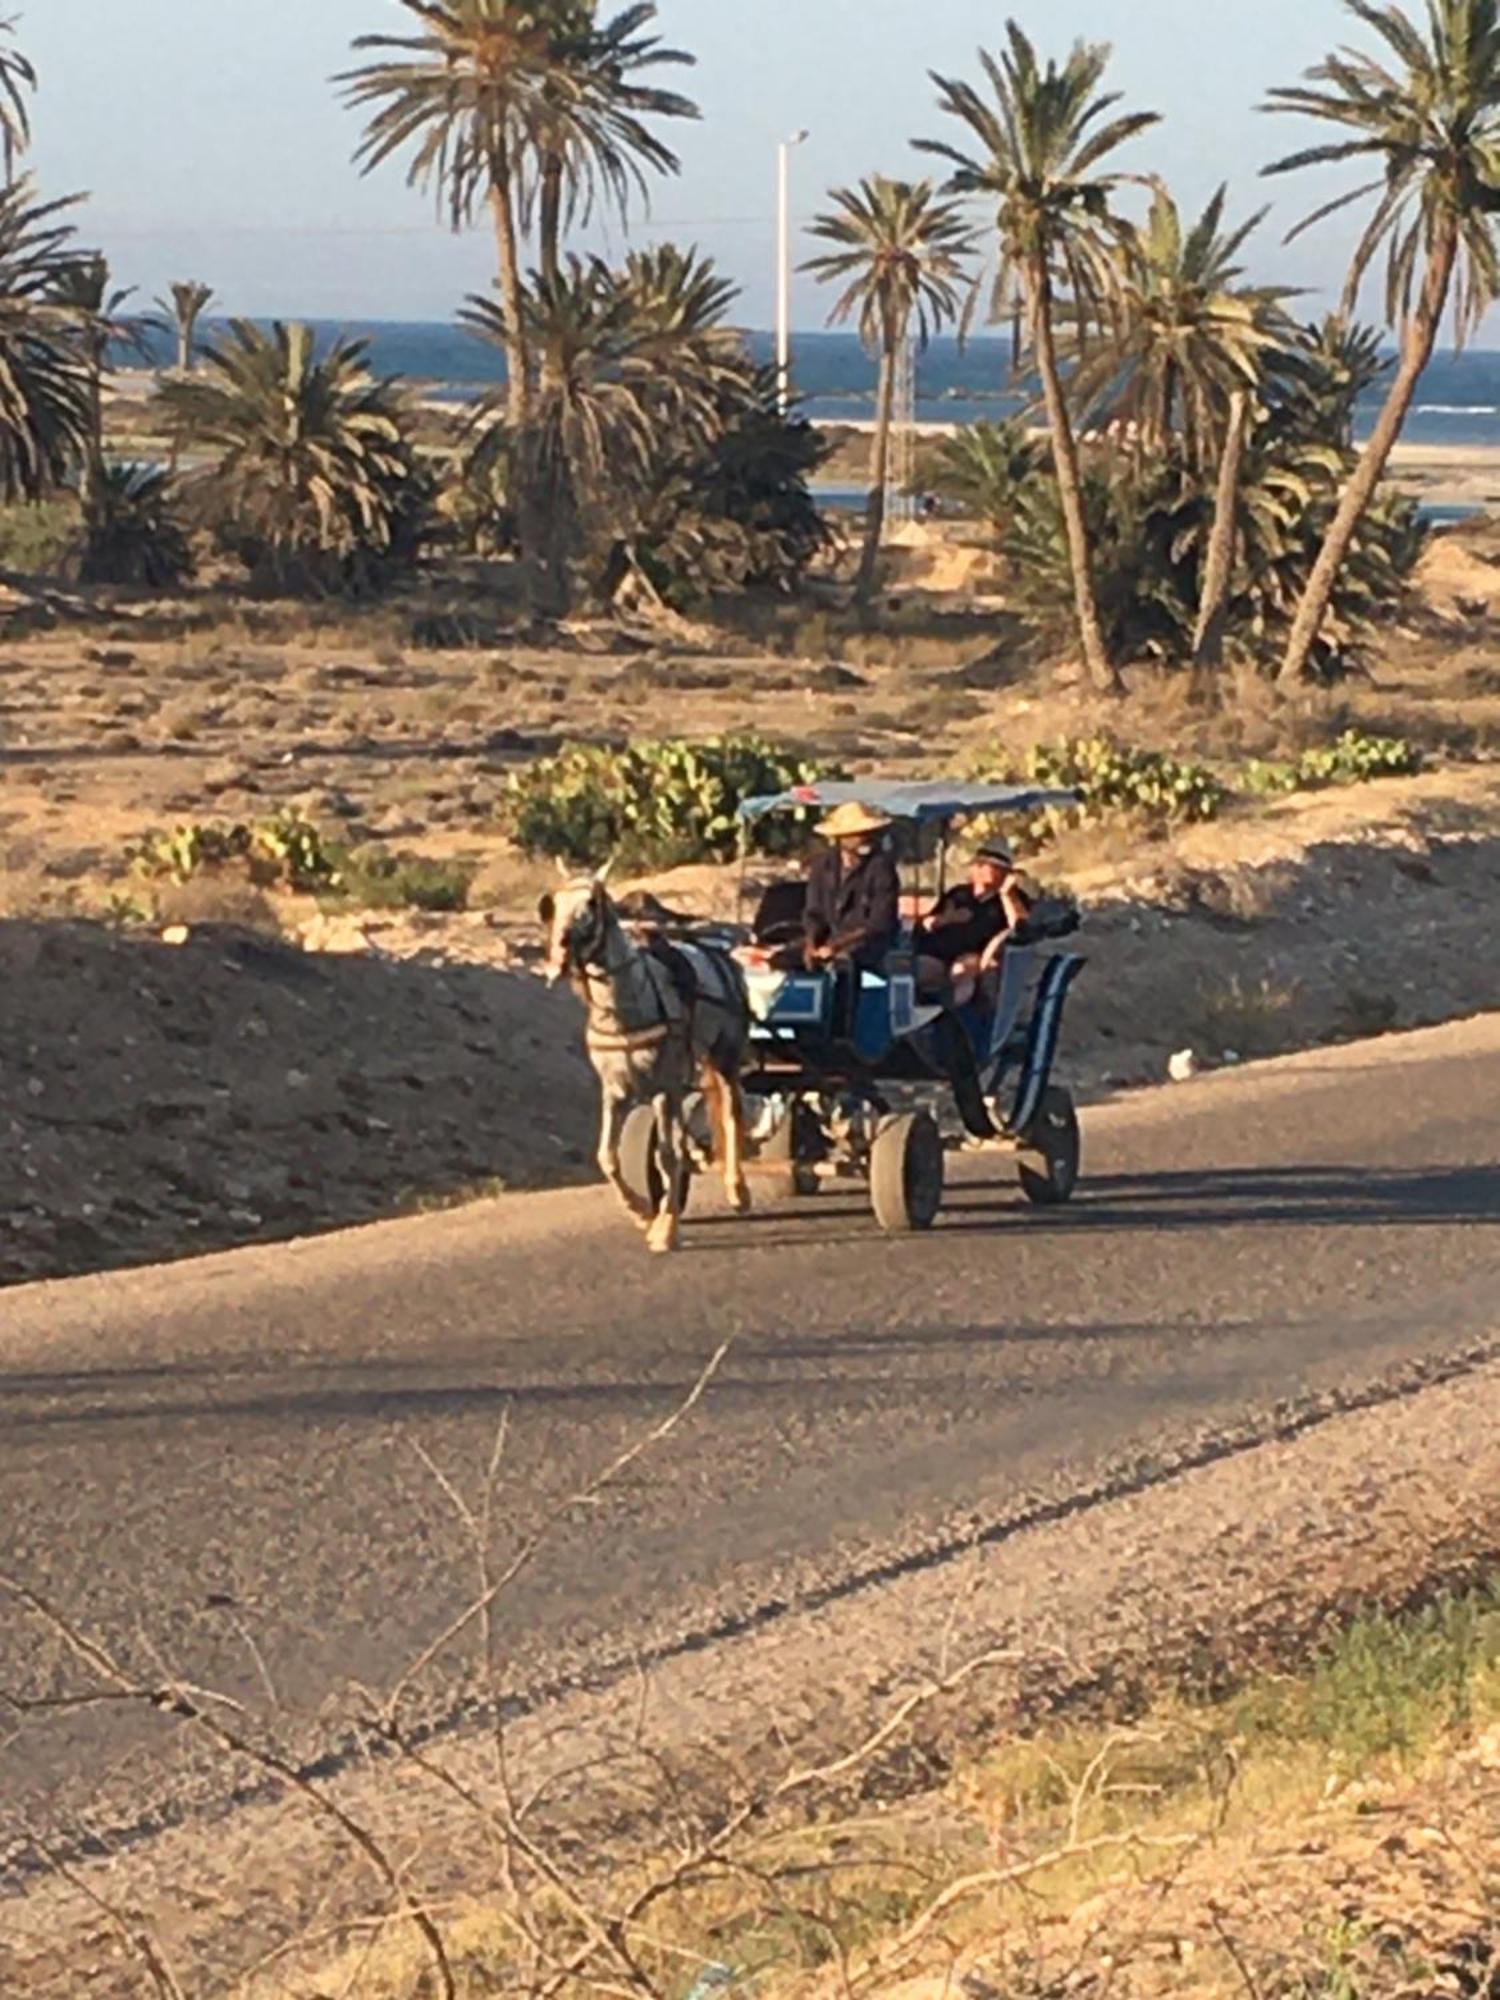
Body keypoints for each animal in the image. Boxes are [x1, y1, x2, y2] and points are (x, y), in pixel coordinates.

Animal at [536, 872, 752, 1256]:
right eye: (554, 903)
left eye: (592, 903)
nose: (559, 952)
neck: (628, 1010)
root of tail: (723, 956)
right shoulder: (616, 1093)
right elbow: (607, 1157)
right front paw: (643, 1213)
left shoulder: (663, 1089)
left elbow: (666, 1156)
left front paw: (666, 1230)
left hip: (724, 1059)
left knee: (730, 1117)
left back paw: (737, 1190)